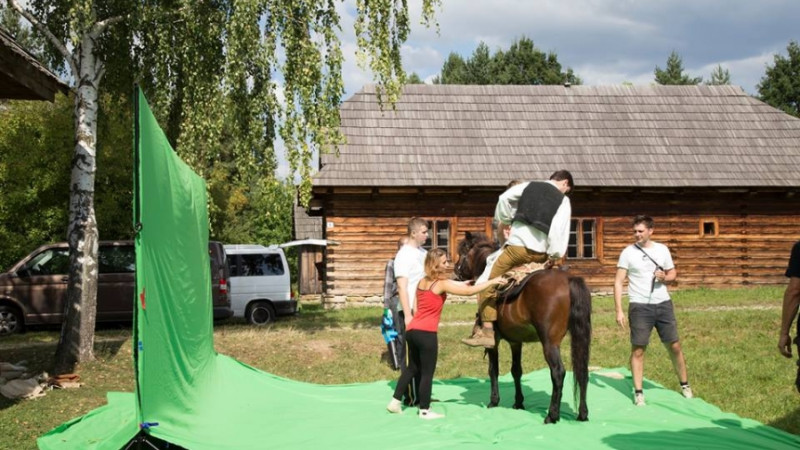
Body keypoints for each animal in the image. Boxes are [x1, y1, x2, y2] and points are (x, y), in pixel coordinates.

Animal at [454, 234, 592, 424]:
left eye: (462, 252)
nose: (455, 271)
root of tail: (568, 279)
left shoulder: (494, 343)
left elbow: (493, 370)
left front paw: (494, 401)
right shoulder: (515, 342)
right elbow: (516, 371)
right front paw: (518, 402)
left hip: (550, 343)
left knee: (558, 372)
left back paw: (552, 415)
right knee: (582, 371)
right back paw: (582, 413)